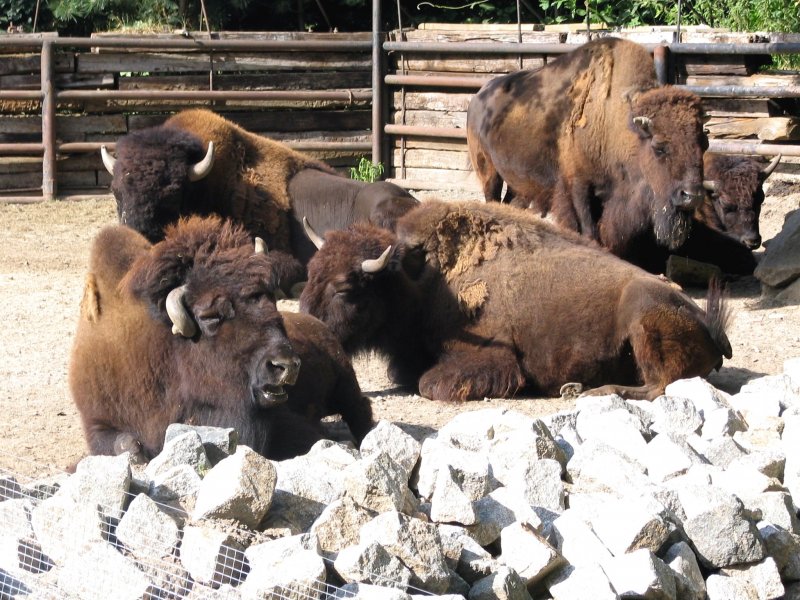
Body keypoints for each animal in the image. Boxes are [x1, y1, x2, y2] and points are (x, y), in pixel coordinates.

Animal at [67, 216, 374, 464]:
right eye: (210, 316)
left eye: (270, 299)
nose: (286, 365)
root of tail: (321, 327)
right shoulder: (96, 422)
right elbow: (123, 444)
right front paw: (136, 453)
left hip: (345, 382)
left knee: (359, 408)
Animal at [298, 202, 732, 404]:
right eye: (311, 273)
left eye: (345, 288)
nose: (306, 326)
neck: (420, 279)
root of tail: (709, 326)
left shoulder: (492, 361)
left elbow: (428, 383)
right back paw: (575, 388)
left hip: (642, 319)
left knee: (659, 385)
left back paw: (591, 392)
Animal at [468, 35, 708, 255]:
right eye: (659, 147)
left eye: (703, 145)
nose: (692, 196)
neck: (614, 122)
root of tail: (479, 96)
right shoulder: (579, 185)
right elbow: (587, 230)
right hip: (488, 171)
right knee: (491, 197)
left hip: (518, 182)